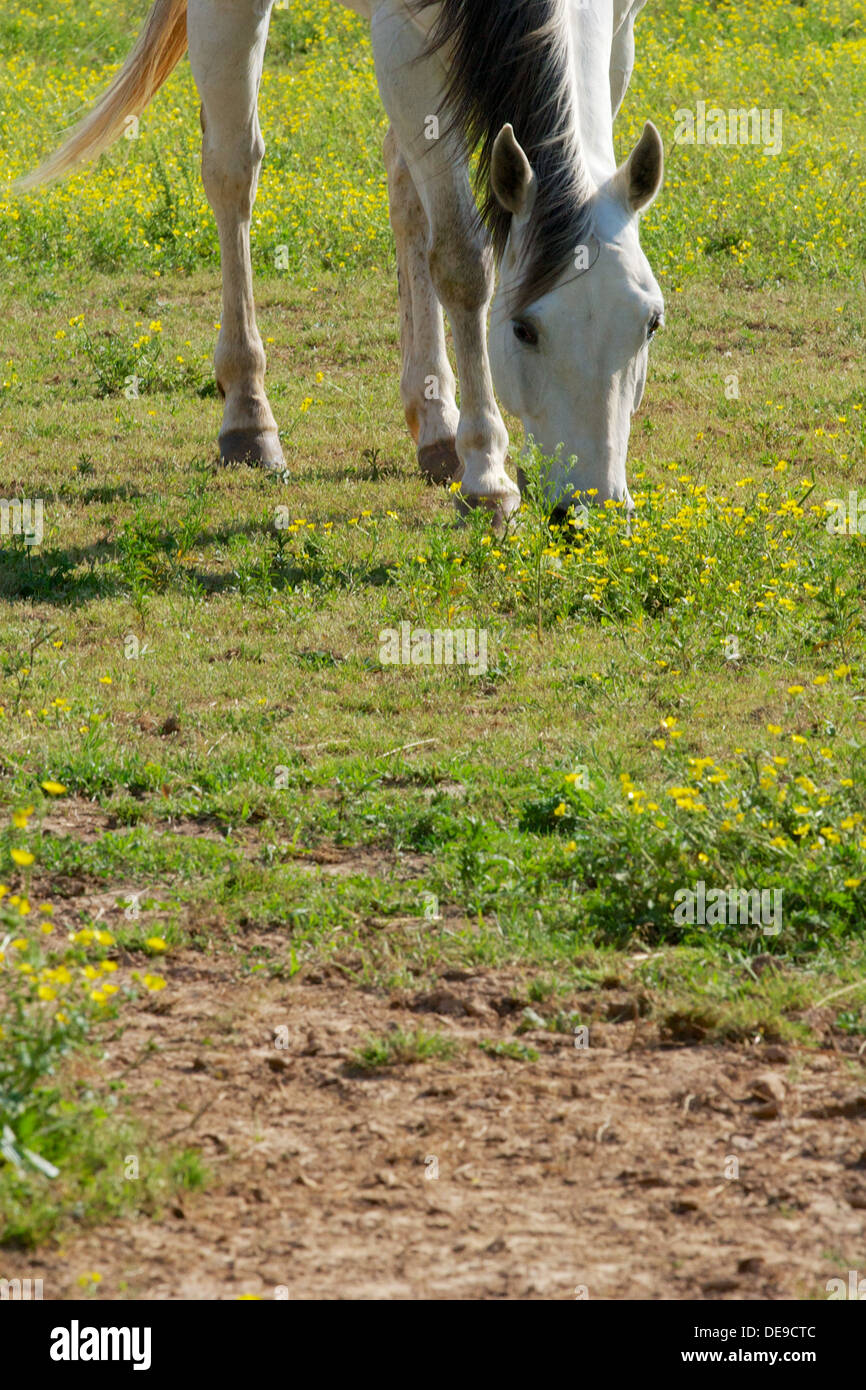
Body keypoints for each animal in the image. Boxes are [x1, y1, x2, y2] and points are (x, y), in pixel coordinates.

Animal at [20, 0, 665, 526]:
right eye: (524, 331)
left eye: (651, 323)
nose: (591, 507)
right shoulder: (401, 36)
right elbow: (464, 260)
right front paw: (487, 479)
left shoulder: (619, 30)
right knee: (232, 172)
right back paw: (249, 418)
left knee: (403, 187)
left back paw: (435, 427)